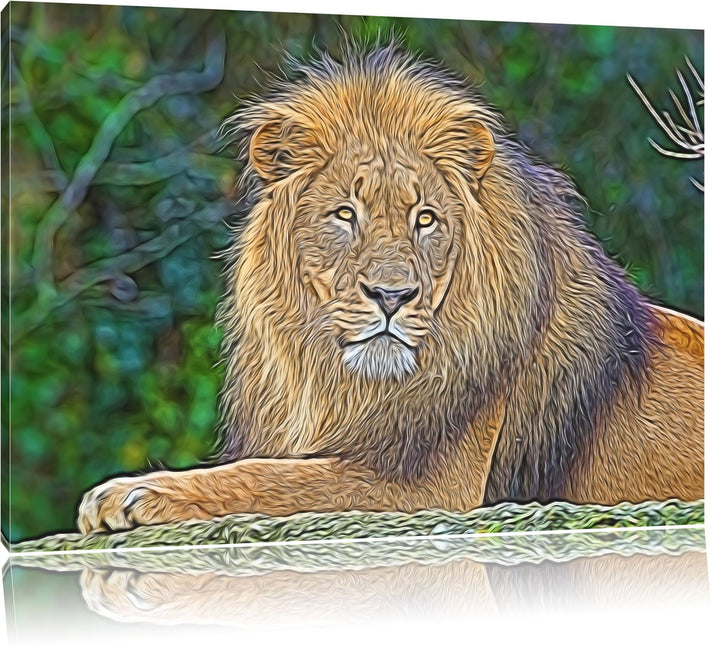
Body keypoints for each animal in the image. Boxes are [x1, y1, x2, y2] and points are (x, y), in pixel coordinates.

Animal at [77, 45, 703, 534]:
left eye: (425, 219)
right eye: (344, 214)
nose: (392, 297)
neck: (341, 381)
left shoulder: (428, 490)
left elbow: (268, 477)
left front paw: (134, 492)